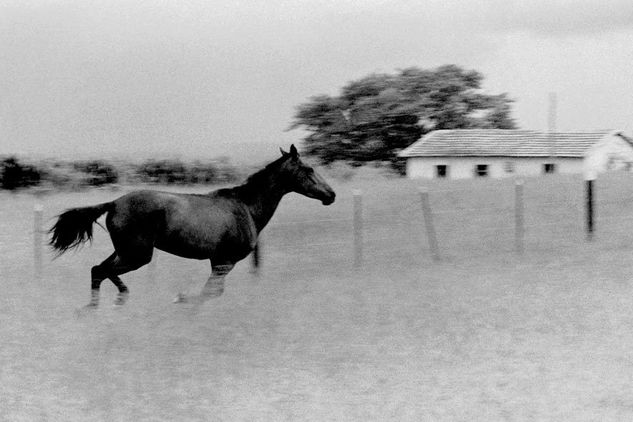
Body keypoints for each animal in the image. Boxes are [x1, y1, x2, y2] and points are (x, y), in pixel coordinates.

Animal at [49, 144, 336, 306]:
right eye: (309, 169)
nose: (331, 195)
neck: (246, 207)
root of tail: (114, 203)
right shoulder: (224, 262)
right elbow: (210, 293)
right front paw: (182, 300)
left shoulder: (218, 262)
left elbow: (213, 293)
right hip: (136, 255)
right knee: (101, 270)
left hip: (125, 252)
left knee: (99, 271)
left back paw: (109, 305)